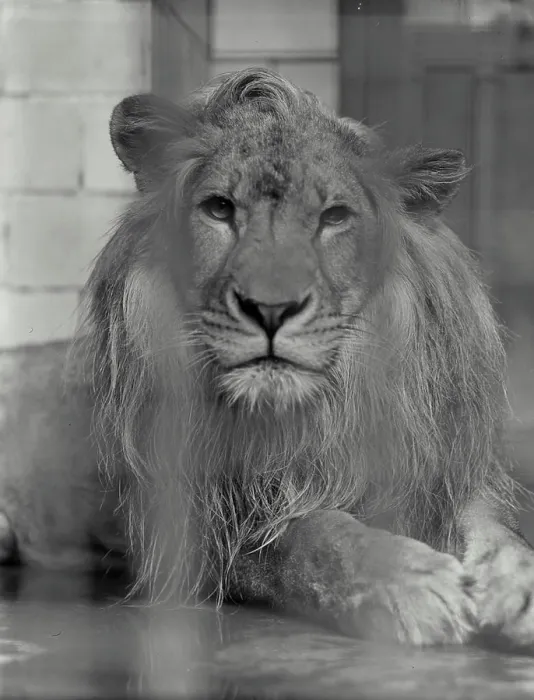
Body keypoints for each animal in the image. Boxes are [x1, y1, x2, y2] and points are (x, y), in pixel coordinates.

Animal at [1, 67, 534, 647]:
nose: (271, 308)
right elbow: (312, 535)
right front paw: (405, 578)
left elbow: (495, 530)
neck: (319, 406)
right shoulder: (203, 531)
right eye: (219, 208)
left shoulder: (444, 471)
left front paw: (519, 585)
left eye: (334, 217)